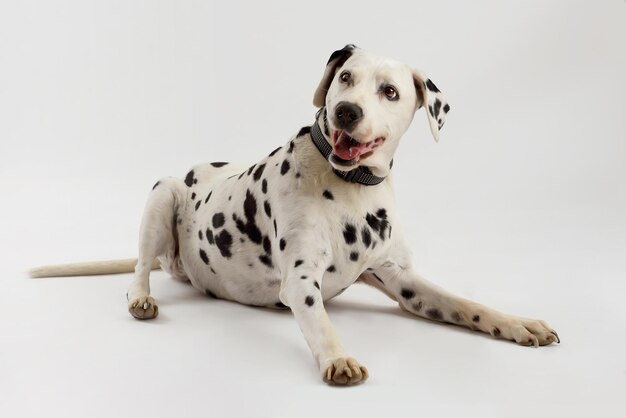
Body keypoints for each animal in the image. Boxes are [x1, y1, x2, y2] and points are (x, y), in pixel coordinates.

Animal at [30, 45, 556, 386]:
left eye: (389, 92)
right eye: (345, 78)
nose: (345, 111)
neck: (351, 188)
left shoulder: (401, 279)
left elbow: (465, 303)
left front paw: (517, 324)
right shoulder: (301, 281)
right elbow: (320, 323)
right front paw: (337, 358)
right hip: (163, 193)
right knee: (140, 267)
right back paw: (141, 297)